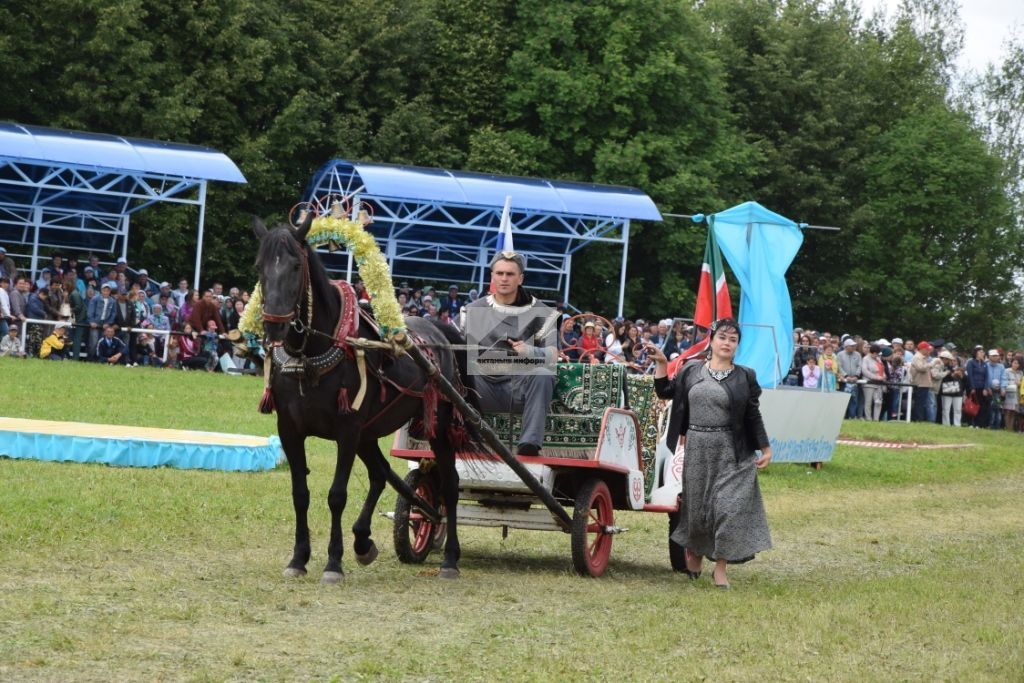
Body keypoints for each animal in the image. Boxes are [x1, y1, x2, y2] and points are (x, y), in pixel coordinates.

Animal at [253, 215, 468, 581]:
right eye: (259, 267)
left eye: (296, 266)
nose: (274, 326)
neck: (312, 354)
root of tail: (439, 329)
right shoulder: (291, 430)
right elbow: (300, 494)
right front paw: (299, 558)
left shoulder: (347, 430)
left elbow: (336, 495)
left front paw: (333, 563)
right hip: (369, 433)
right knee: (381, 475)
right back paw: (364, 540)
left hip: (435, 426)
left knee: (450, 486)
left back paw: (451, 558)